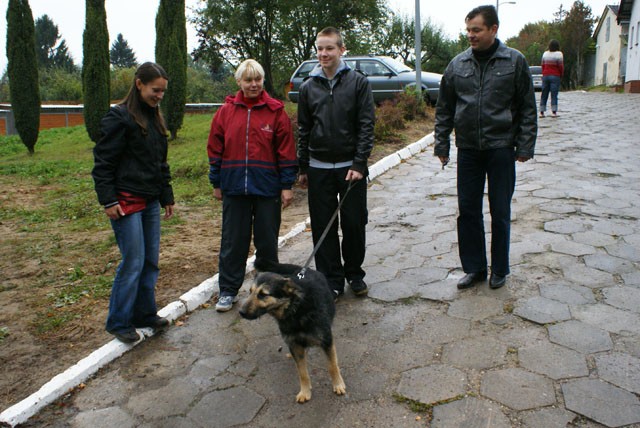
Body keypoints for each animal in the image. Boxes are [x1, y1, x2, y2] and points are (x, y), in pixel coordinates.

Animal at [239, 258, 344, 404]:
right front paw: (305, 392)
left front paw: (338, 384)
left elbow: (332, 365)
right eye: (250, 292)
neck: (295, 310)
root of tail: (303, 270)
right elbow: (302, 372)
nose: (241, 312)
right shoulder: (295, 345)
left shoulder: (326, 341)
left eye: (263, 295)